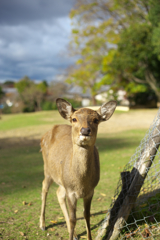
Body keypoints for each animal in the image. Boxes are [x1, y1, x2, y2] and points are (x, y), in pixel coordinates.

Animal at [39, 98, 117, 240]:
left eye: (96, 120)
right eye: (74, 119)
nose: (85, 130)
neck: (81, 184)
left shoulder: (90, 191)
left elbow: (87, 215)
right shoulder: (71, 191)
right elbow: (73, 219)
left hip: (61, 179)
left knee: (59, 193)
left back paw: (74, 233)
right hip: (47, 169)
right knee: (44, 187)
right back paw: (42, 225)